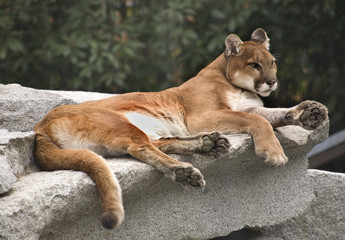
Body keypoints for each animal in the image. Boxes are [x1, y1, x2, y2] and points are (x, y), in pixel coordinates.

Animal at [33, 29, 326, 230]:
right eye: (254, 64)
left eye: (272, 62)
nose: (272, 82)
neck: (235, 83)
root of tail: (39, 127)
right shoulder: (203, 116)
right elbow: (259, 121)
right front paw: (274, 153)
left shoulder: (249, 107)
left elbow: (273, 114)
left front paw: (309, 113)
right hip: (119, 122)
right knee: (141, 146)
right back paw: (185, 170)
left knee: (158, 143)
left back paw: (209, 145)